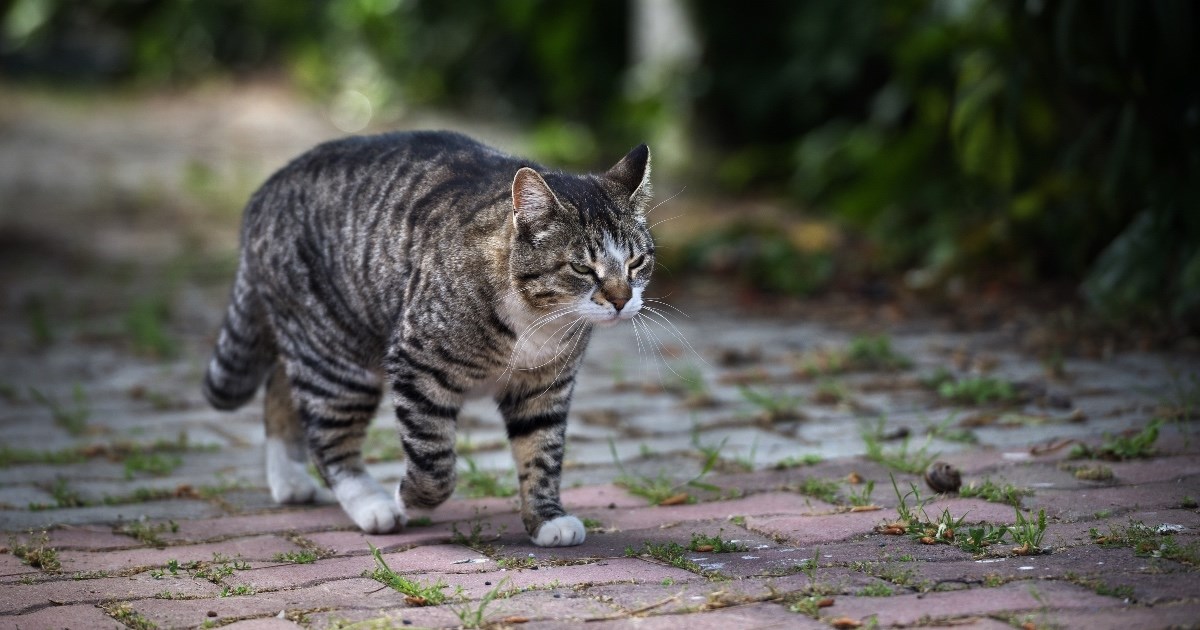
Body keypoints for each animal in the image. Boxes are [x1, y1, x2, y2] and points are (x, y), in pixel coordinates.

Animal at [201, 131, 652, 544]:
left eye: (637, 262)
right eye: (582, 268)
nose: (621, 299)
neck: (536, 320)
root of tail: (266, 192)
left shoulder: (545, 387)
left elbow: (542, 451)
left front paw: (546, 519)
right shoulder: (417, 366)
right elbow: (435, 463)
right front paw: (410, 499)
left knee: (280, 385)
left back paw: (289, 479)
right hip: (336, 358)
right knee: (329, 438)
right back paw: (370, 504)